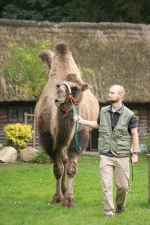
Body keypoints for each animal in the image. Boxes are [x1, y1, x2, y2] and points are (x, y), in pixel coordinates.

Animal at [35, 42, 99, 207]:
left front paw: (69, 199)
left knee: (67, 162)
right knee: (62, 161)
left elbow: (71, 168)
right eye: (58, 86)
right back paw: (62, 190)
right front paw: (58, 197)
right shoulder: (47, 137)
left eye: (75, 89)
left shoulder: (80, 135)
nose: (58, 97)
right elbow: (57, 168)